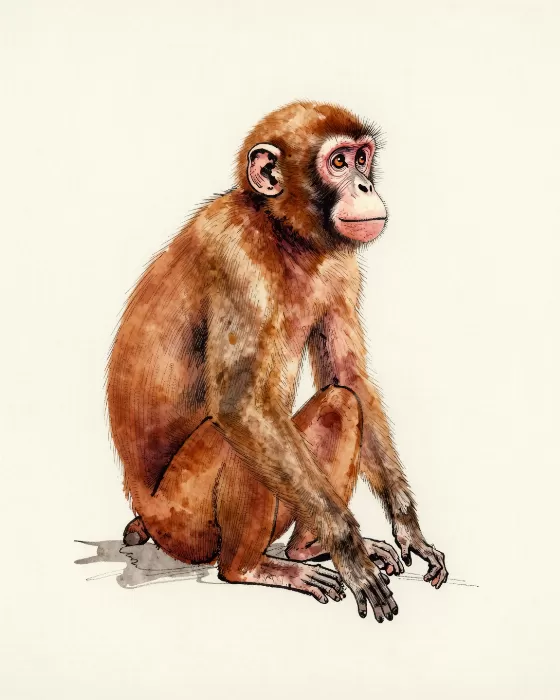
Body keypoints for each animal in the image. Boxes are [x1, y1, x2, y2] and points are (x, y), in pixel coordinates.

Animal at [106, 101, 448, 623]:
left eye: (363, 158)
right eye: (338, 163)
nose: (365, 186)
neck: (279, 231)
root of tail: (145, 514)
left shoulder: (340, 265)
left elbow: (349, 378)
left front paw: (408, 526)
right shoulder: (237, 256)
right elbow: (241, 406)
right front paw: (349, 551)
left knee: (341, 403)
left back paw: (305, 549)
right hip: (184, 524)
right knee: (240, 428)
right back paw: (249, 567)